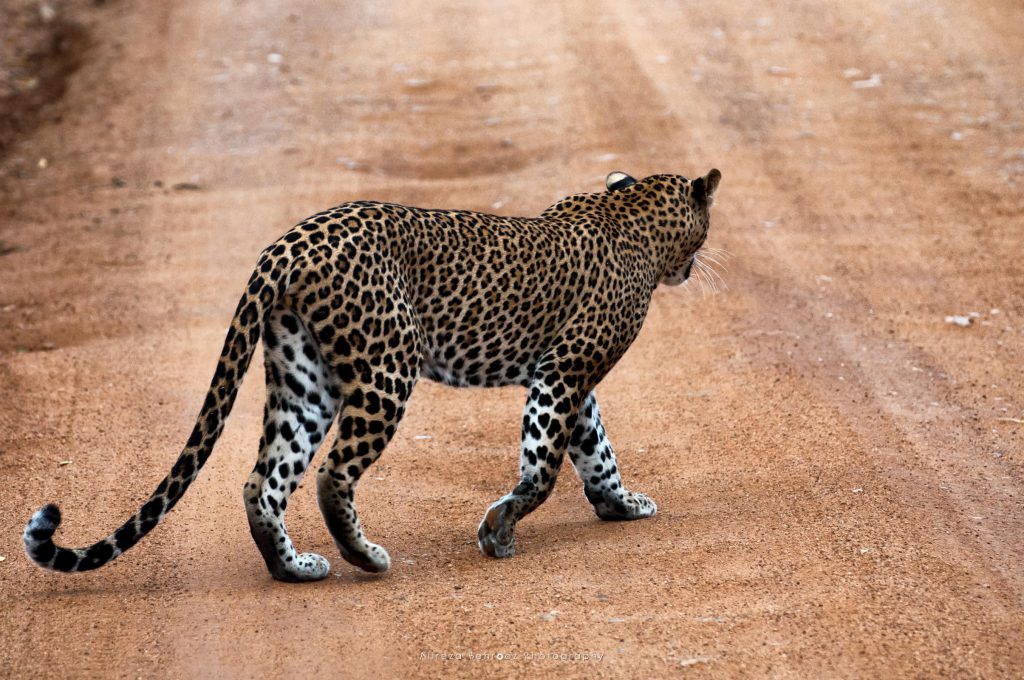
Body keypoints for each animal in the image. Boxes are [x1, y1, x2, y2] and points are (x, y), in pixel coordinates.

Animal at [25, 166, 729, 581]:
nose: (695, 267)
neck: (633, 209)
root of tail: (284, 244)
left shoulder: (568, 378)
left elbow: (593, 451)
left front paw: (620, 504)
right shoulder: (563, 371)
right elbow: (546, 467)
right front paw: (500, 529)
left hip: (303, 379)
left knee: (263, 481)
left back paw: (295, 567)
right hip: (388, 367)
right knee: (332, 473)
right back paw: (365, 556)